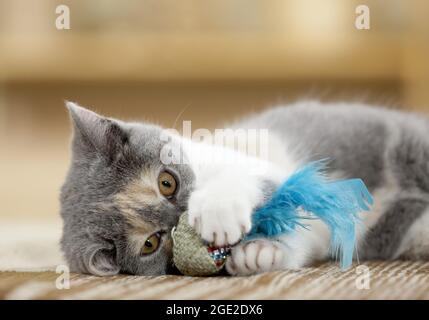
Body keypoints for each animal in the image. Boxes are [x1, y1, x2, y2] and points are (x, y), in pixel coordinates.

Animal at [60, 100, 428, 276]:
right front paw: (258, 255)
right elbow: (302, 239)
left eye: (167, 182)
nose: (182, 215)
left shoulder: (261, 167)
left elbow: (252, 178)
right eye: (151, 243)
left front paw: (217, 212)